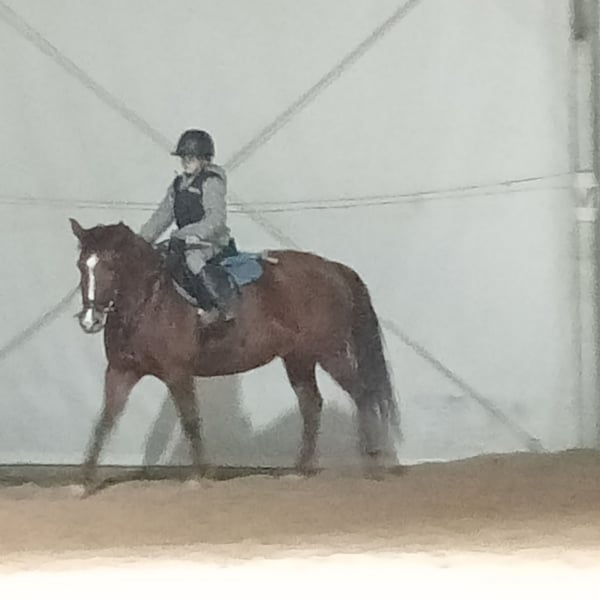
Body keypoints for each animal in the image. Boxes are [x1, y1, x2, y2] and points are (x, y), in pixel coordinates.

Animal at [69, 218, 402, 495]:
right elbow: (104, 421)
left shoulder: (178, 373)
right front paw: (83, 481)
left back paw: (372, 461)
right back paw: (300, 469)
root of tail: (333, 268)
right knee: (312, 404)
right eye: (82, 266)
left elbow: (190, 420)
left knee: (361, 393)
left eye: (111, 266)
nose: (89, 320)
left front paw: (200, 475)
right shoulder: (120, 371)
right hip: (299, 359)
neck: (149, 302)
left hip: (330, 353)